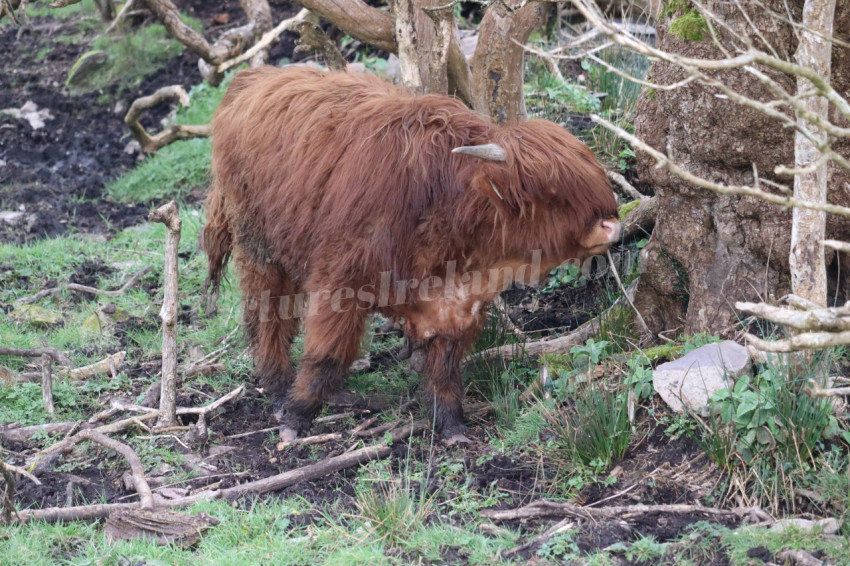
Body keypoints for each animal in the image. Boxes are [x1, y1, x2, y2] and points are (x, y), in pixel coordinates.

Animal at [203, 66, 621, 442]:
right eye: (552, 195)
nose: (612, 227)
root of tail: (254, 76)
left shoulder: (457, 306)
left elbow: (446, 366)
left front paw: (452, 426)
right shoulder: (340, 282)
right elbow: (326, 354)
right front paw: (296, 417)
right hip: (259, 246)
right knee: (268, 317)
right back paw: (277, 391)